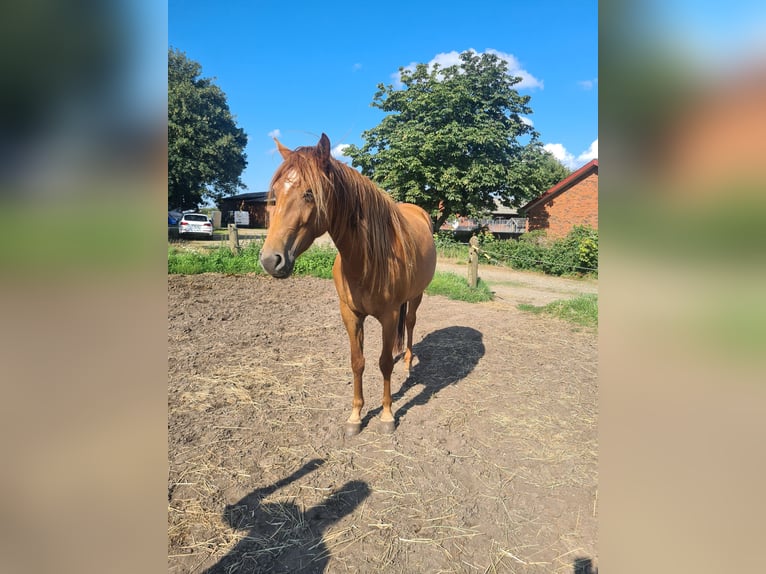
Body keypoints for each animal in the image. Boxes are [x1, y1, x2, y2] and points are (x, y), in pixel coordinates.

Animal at [260, 133, 436, 436]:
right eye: (276, 195)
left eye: (310, 193)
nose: (271, 260)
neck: (367, 259)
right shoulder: (350, 315)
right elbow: (357, 362)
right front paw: (355, 416)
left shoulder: (389, 316)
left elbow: (384, 363)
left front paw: (387, 415)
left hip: (416, 296)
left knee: (411, 324)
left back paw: (407, 363)